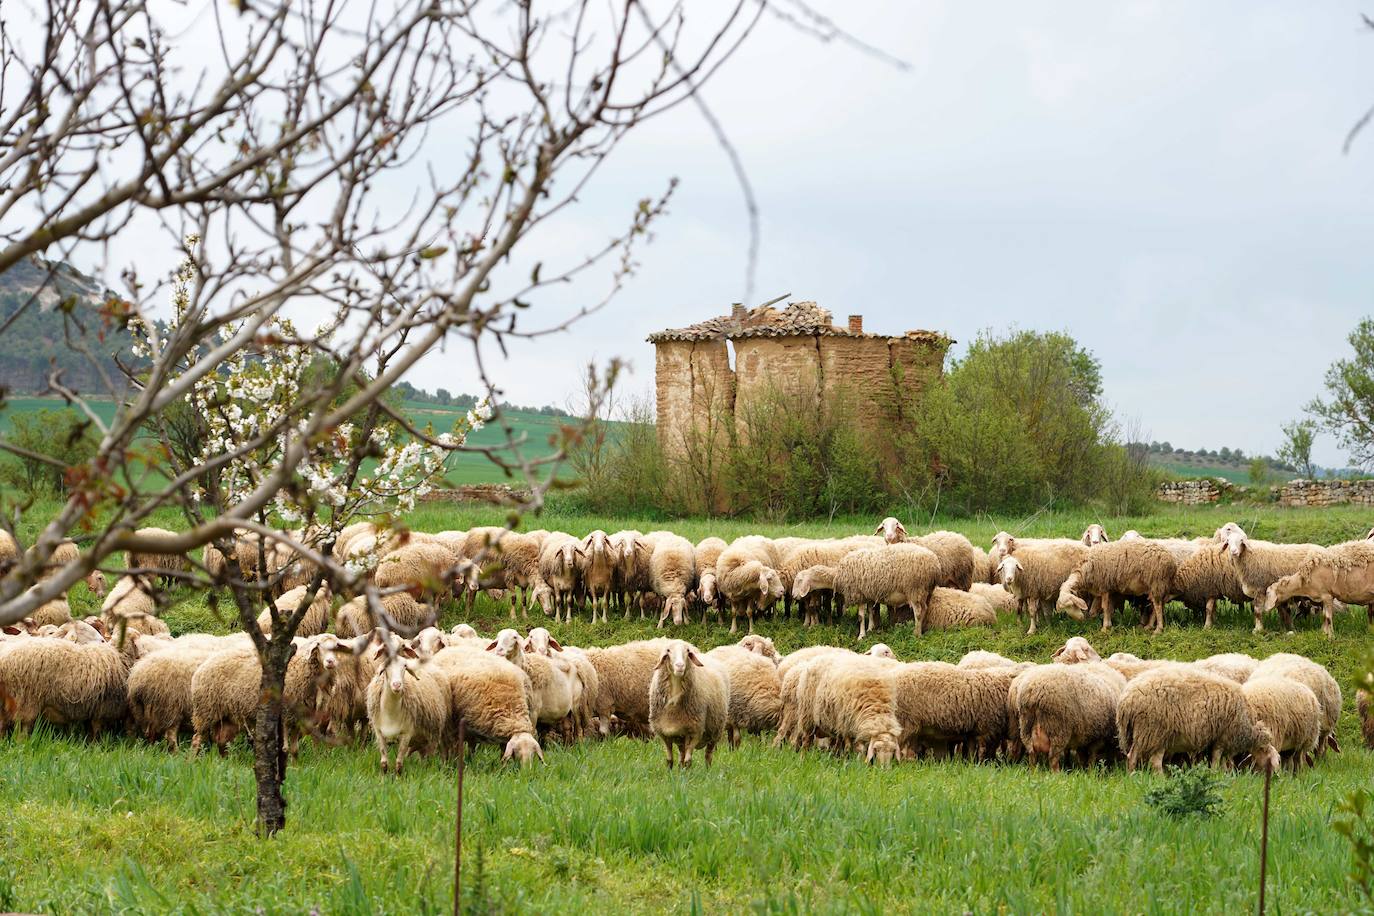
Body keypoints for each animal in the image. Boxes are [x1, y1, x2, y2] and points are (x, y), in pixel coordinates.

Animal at [365, 642, 450, 780]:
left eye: (404, 666)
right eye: (386, 665)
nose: (397, 685)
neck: (390, 712)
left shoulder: (407, 733)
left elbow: (399, 763)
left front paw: (398, 779)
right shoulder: (379, 732)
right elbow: (384, 762)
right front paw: (383, 778)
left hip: (435, 733)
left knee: (432, 755)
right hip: (422, 738)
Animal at [1115, 667, 1275, 774]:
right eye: (1270, 757)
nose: (1275, 778)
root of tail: (1127, 699)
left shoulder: (1220, 739)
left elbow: (1223, 761)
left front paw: (1225, 774)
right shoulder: (1222, 737)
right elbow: (1217, 758)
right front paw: (1216, 774)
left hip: (1141, 733)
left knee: (1131, 756)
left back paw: (1132, 775)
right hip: (1155, 731)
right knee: (1154, 762)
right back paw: (1161, 779)